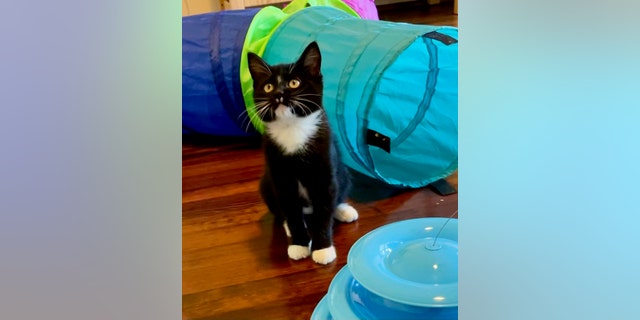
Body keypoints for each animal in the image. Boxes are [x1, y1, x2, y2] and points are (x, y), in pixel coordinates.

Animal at [249, 41, 360, 264]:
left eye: (294, 83)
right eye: (268, 87)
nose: (279, 94)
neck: (292, 129)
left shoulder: (324, 168)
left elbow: (325, 208)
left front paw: (323, 248)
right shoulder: (280, 175)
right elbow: (291, 210)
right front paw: (299, 244)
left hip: (342, 172)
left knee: (336, 195)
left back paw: (344, 210)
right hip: (266, 184)